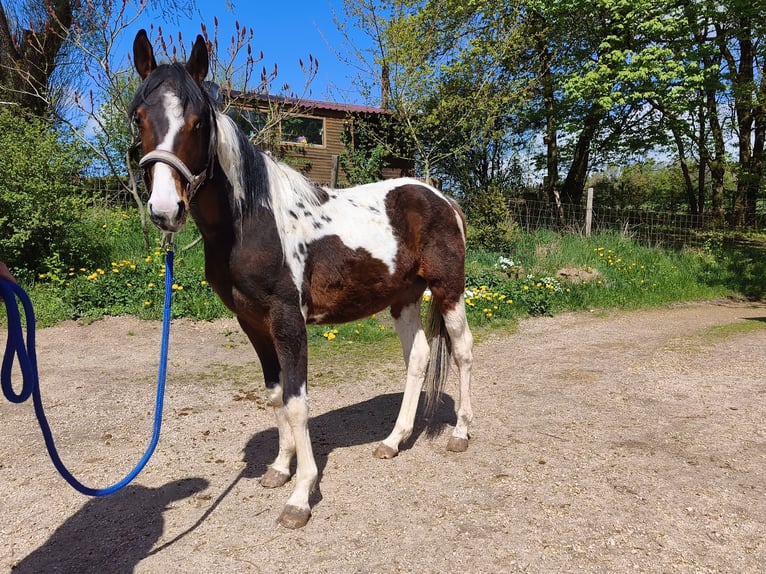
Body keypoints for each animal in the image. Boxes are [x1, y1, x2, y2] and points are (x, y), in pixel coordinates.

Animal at [130, 29, 474, 529]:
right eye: (139, 116)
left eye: (198, 121)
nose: (164, 210)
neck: (252, 220)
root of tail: (443, 200)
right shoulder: (253, 323)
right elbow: (276, 396)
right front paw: (279, 468)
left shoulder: (288, 320)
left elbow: (297, 400)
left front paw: (300, 496)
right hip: (403, 298)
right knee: (419, 357)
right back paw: (393, 441)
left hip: (448, 291)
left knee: (463, 351)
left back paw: (461, 433)